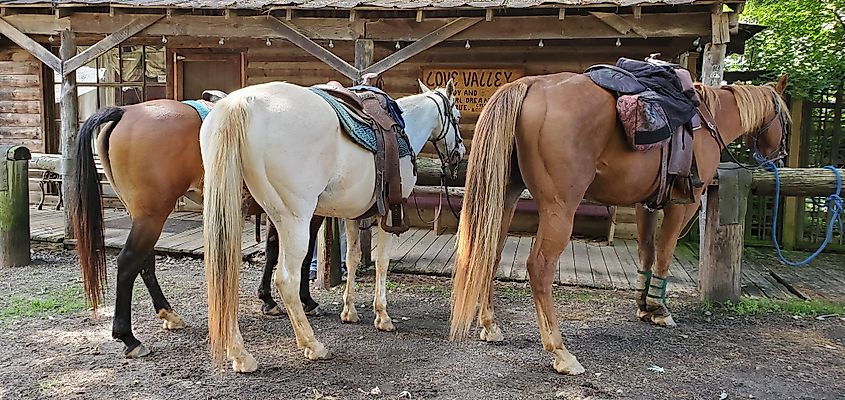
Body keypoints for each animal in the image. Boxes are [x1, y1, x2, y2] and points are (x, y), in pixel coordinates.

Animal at [69, 99, 321, 358]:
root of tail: (125, 111)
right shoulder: (305, 213)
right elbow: (303, 257)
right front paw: (306, 300)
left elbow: (272, 251)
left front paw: (268, 300)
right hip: (151, 216)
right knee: (129, 262)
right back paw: (129, 338)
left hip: (142, 216)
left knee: (144, 263)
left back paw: (168, 313)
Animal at [200, 79, 464, 372]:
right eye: (457, 117)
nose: (459, 154)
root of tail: (240, 103)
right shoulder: (390, 215)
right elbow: (382, 262)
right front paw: (382, 316)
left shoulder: (352, 215)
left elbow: (353, 258)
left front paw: (349, 311)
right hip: (293, 220)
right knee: (286, 279)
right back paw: (312, 344)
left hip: (232, 212)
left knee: (226, 274)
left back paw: (240, 354)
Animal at [448, 72, 789, 374]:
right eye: (785, 119)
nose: (781, 157)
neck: (708, 120)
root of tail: (530, 84)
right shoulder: (685, 203)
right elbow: (665, 252)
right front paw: (660, 309)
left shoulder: (645, 204)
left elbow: (647, 251)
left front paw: (644, 303)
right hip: (560, 207)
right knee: (539, 267)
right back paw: (560, 352)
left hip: (505, 195)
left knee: (489, 253)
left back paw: (491, 325)